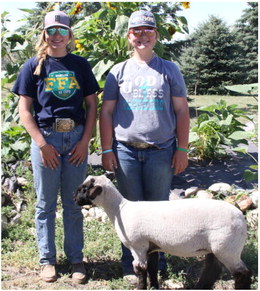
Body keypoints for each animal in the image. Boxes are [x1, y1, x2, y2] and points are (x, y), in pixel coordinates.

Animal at [73, 175, 252, 290]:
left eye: (84, 189)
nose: (74, 198)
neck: (120, 209)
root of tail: (242, 219)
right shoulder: (152, 246)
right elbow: (152, 268)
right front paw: (154, 286)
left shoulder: (138, 246)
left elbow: (140, 270)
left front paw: (141, 288)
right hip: (216, 249)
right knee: (212, 270)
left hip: (227, 248)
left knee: (242, 273)